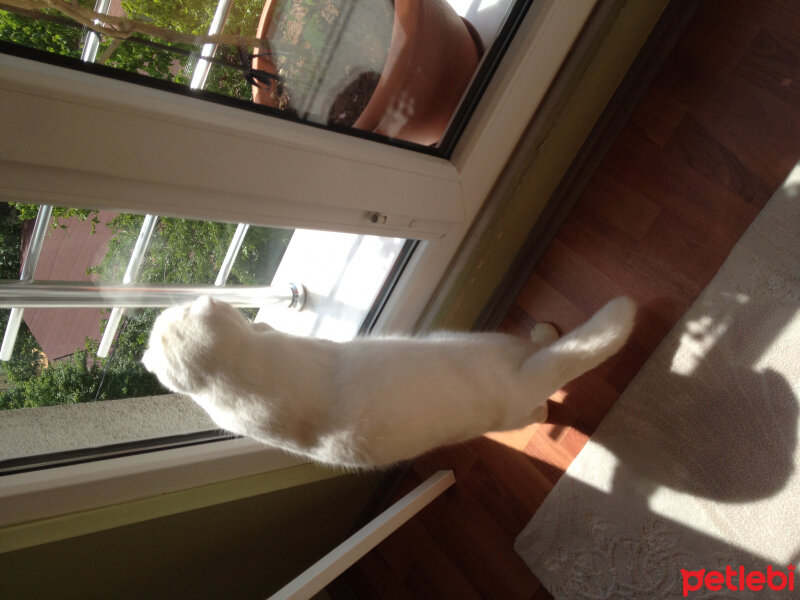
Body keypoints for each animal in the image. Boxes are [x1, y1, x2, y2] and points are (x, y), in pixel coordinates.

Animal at [141, 296, 636, 468]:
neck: (228, 381)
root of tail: (512, 390)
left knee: (538, 403)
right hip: (488, 345)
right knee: (539, 364)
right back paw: (544, 337)